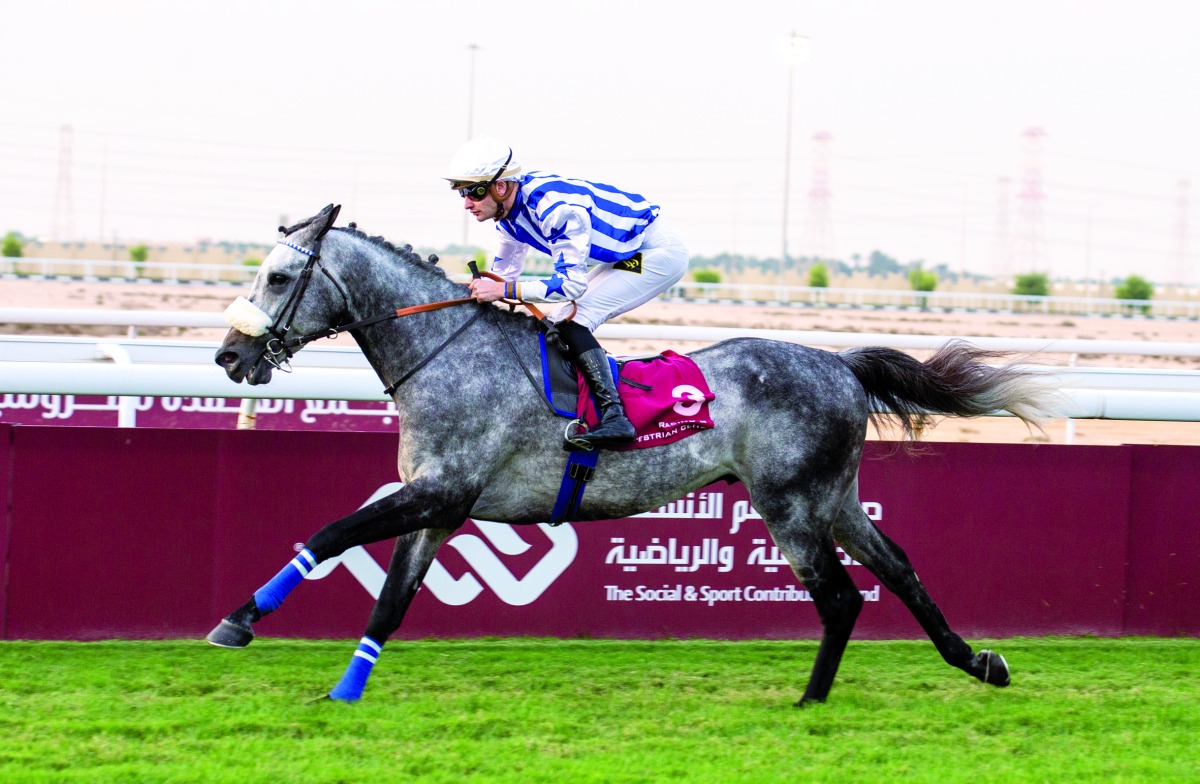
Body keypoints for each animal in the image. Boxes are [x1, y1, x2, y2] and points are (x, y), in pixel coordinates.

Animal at [206, 201, 1060, 701]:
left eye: (277, 276)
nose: (228, 357)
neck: (447, 354)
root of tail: (840, 363)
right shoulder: (440, 508)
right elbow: (390, 599)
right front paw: (344, 695)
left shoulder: (441, 491)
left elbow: (328, 534)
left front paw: (238, 621)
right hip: (835, 498)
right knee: (900, 568)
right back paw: (978, 662)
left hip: (789, 505)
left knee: (842, 598)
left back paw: (810, 703)